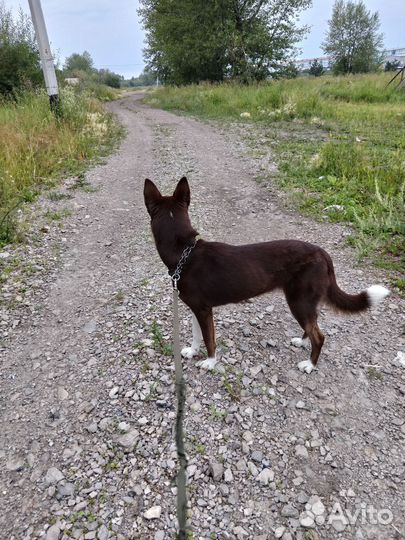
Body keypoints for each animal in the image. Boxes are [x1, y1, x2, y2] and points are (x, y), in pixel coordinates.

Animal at [144, 177, 390, 372]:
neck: (184, 252)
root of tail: (323, 254)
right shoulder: (197, 309)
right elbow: (197, 335)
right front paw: (192, 351)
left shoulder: (204, 311)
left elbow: (209, 339)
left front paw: (210, 362)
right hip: (305, 302)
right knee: (312, 325)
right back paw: (302, 343)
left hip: (298, 301)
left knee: (319, 336)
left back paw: (310, 365)